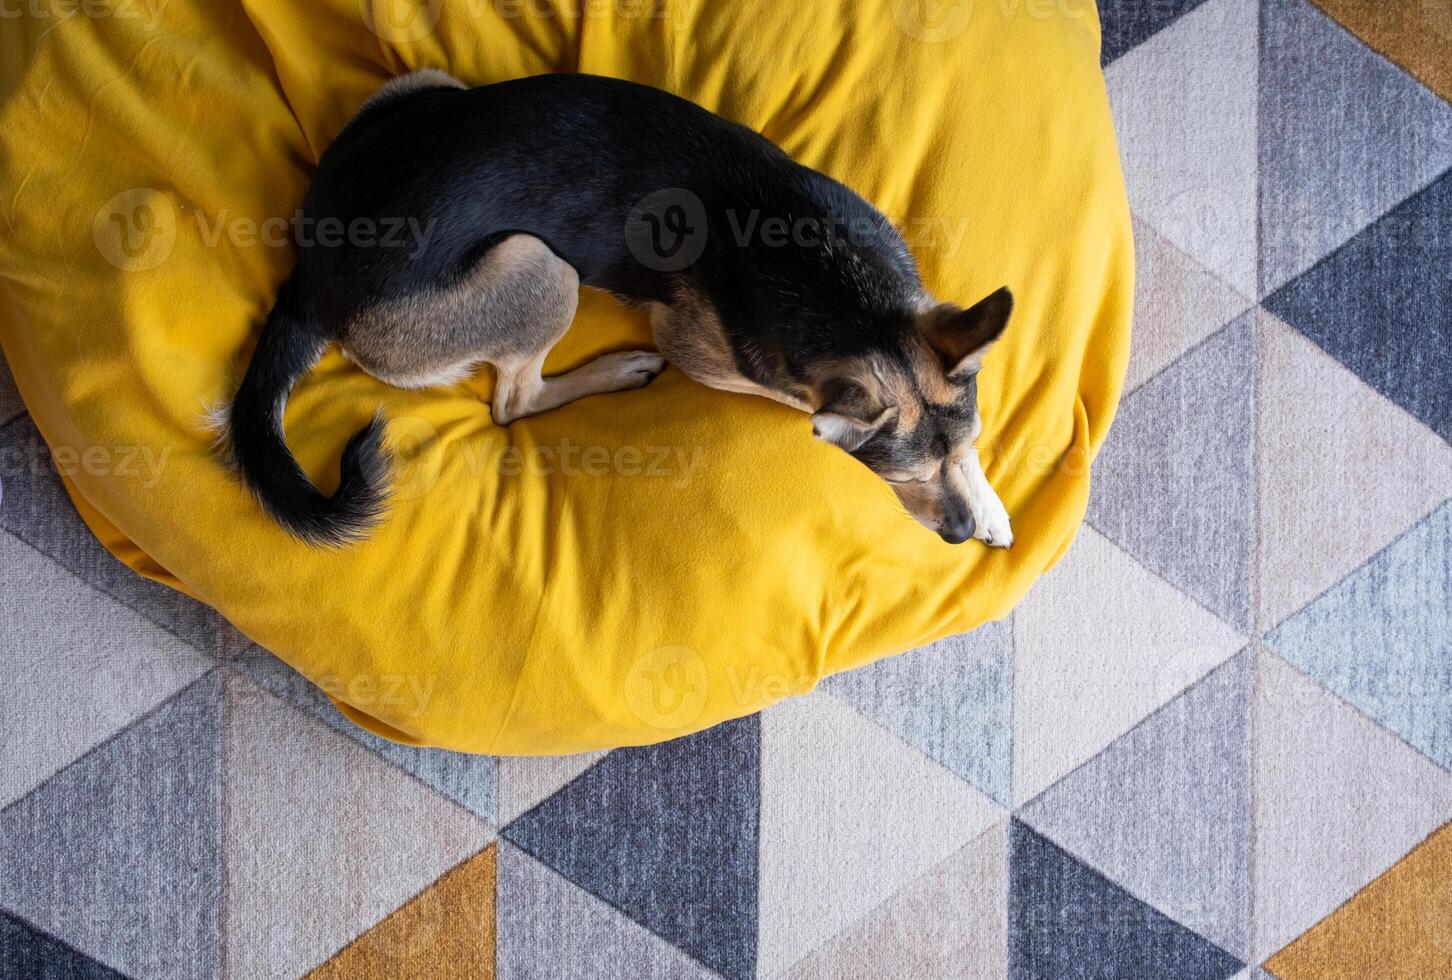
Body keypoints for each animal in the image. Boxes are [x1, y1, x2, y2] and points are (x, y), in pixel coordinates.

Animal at [220, 71, 1016, 551]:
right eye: (898, 475)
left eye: (957, 454)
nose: (956, 535)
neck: (838, 288)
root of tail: (310, 278)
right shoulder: (716, 357)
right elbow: (798, 404)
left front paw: (989, 501)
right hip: (542, 269)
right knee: (514, 400)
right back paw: (617, 370)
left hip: (427, 90)